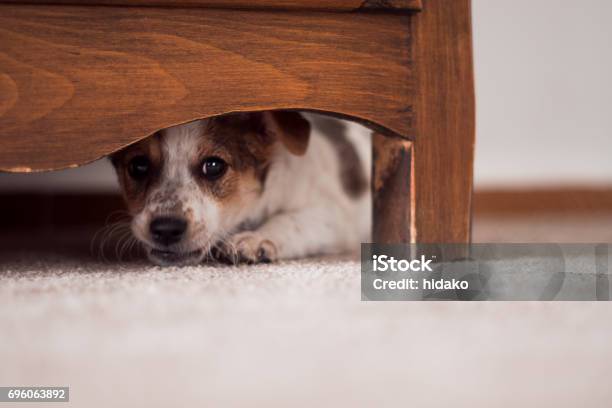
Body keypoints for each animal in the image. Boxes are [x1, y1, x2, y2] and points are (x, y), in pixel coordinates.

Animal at [110, 110, 370, 266]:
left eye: (214, 166)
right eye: (138, 166)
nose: (166, 229)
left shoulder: (333, 214)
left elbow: (291, 219)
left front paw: (257, 238)